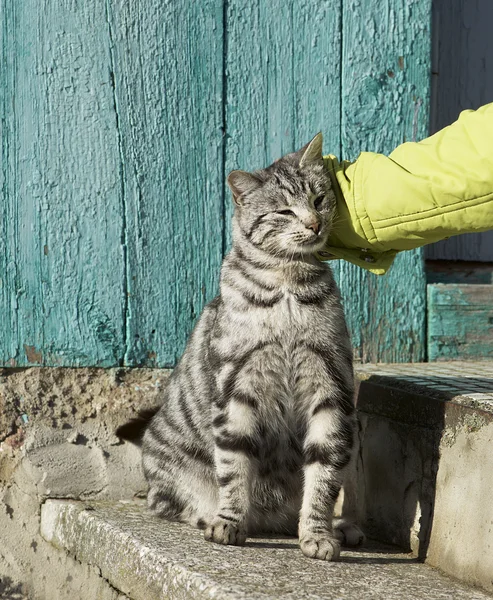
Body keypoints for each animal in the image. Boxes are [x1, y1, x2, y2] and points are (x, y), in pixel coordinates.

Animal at [141, 134, 362, 560]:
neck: (289, 283)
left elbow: (324, 474)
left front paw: (319, 534)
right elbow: (234, 467)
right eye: (284, 211)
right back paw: (209, 516)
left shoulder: (330, 385)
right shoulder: (237, 389)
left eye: (319, 198)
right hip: (167, 462)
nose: (314, 223)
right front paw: (228, 522)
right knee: (167, 503)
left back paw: (342, 528)